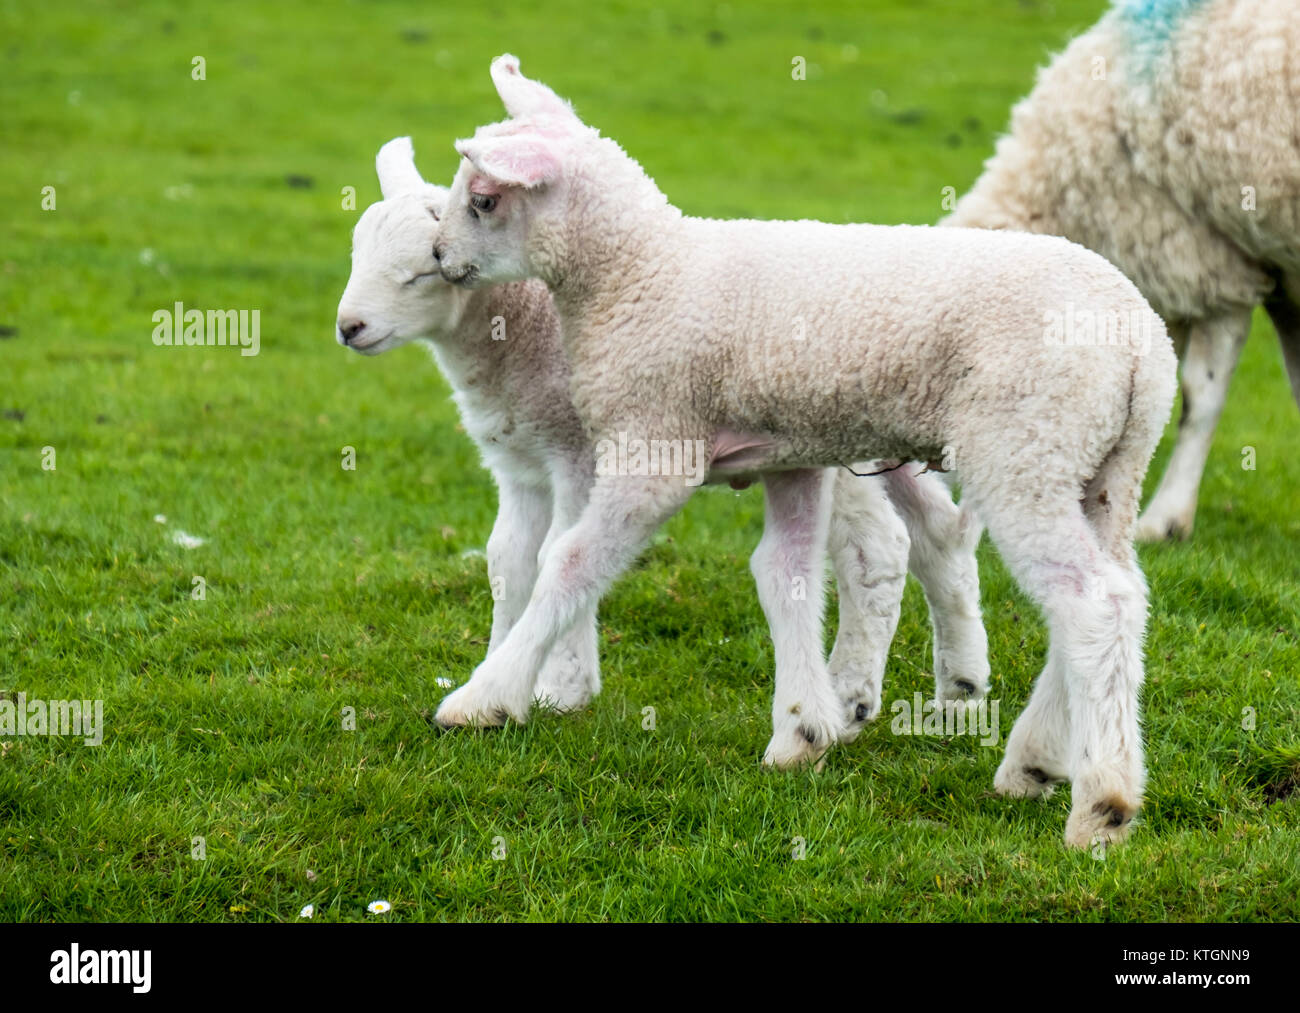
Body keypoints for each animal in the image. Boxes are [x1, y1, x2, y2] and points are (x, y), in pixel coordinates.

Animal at [335, 136, 991, 736]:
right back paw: (957, 687)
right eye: (354, 253)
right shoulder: (519, 462)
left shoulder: (580, 452)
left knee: (880, 545)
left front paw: (561, 685)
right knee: (937, 532)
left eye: (422, 273)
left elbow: (558, 554)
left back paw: (853, 693)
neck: (519, 329)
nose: (348, 327)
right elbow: (508, 559)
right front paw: (502, 665)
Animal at [430, 56, 1178, 848]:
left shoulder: (655, 444)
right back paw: (1036, 760)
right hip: (1106, 465)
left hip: (1026, 447)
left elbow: (570, 561)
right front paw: (801, 733)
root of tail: (1140, 337)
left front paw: (486, 696)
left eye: (482, 200)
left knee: (1091, 600)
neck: (639, 274)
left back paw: (1101, 803)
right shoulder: (790, 456)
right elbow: (783, 574)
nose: (440, 257)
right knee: (1121, 590)